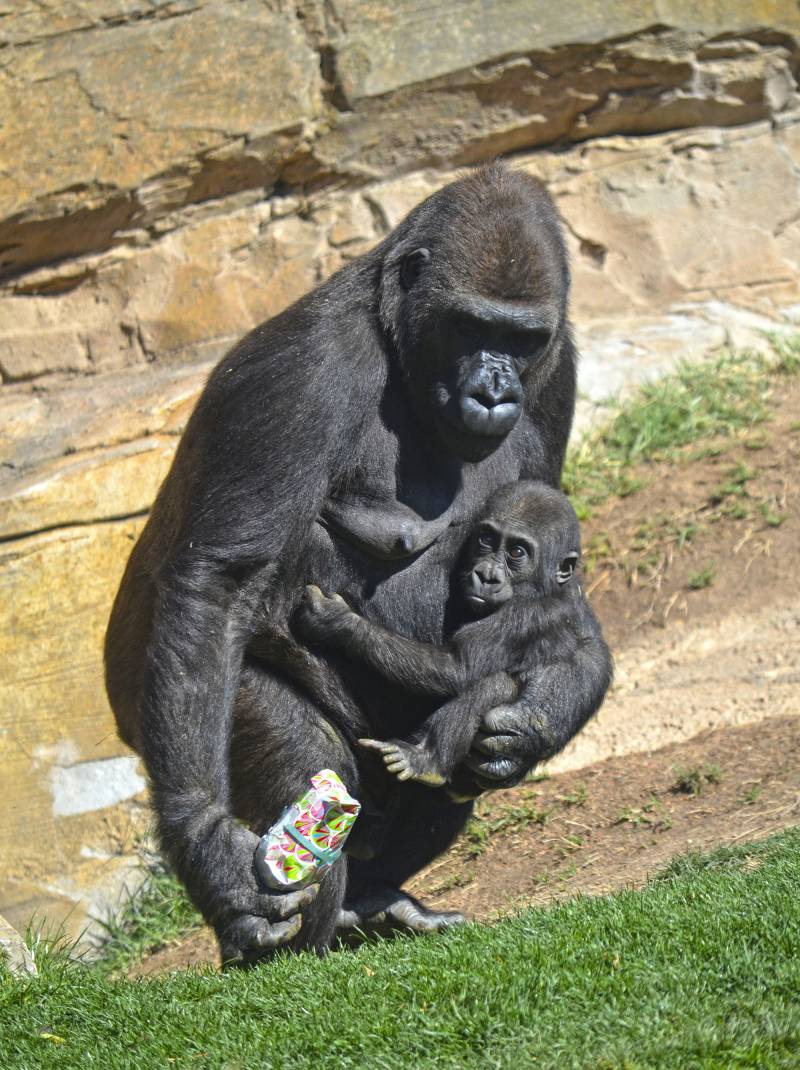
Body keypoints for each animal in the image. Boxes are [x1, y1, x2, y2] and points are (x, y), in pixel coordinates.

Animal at [297, 481, 586, 791]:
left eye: (517, 552)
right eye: (487, 540)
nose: (486, 576)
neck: (548, 588)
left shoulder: (520, 617)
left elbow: (456, 667)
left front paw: (335, 621)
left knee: (491, 685)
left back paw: (425, 760)